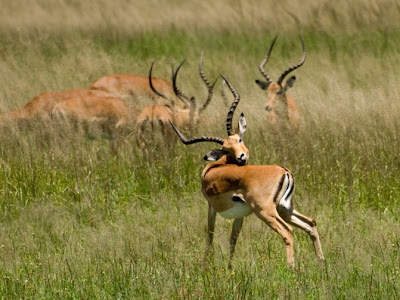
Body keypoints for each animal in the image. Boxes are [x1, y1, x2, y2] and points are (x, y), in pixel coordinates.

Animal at [170, 74, 324, 268]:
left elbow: (210, 237)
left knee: (288, 232)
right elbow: (232, 239)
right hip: (285, 208)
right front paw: (229, 268)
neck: (214, 168)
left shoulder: (211, 207)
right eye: (226, 149)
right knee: (311, 223)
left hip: (266, 211)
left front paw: (205, 267)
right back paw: (322, 264)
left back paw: (291, 269)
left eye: (239, 139)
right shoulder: (240, 214)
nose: (242, 157)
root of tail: (284, 171)